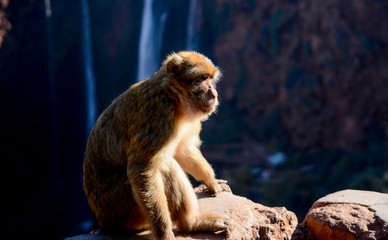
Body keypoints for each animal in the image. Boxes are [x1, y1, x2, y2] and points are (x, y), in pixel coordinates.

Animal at [83, 51, 230, 239]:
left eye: (210, 78)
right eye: (202, 78)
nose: (214, 93)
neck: (173, 98)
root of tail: (102, 221)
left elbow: (183, 150)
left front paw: (211, 181)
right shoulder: (158, 115)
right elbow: (142, 170)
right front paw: (165, 233)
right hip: (121, 209)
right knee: (164, 166)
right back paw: (191, 223)